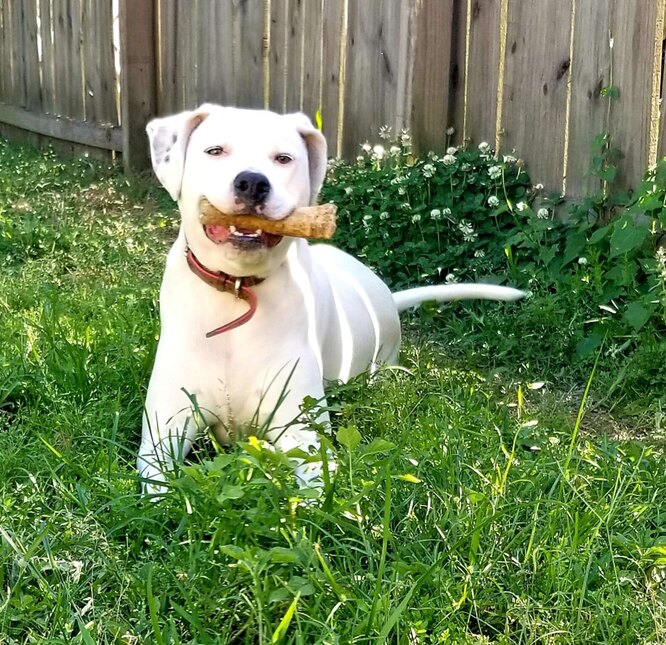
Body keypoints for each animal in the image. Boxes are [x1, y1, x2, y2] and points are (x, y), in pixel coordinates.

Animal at [136, 104, 520, 494]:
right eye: (215, 151)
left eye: (284, 158)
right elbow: (157, 488)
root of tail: (384, 293)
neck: (238, 293)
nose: (253, 182)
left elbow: (316, 486)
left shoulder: (302, 431)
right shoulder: (164, 431)